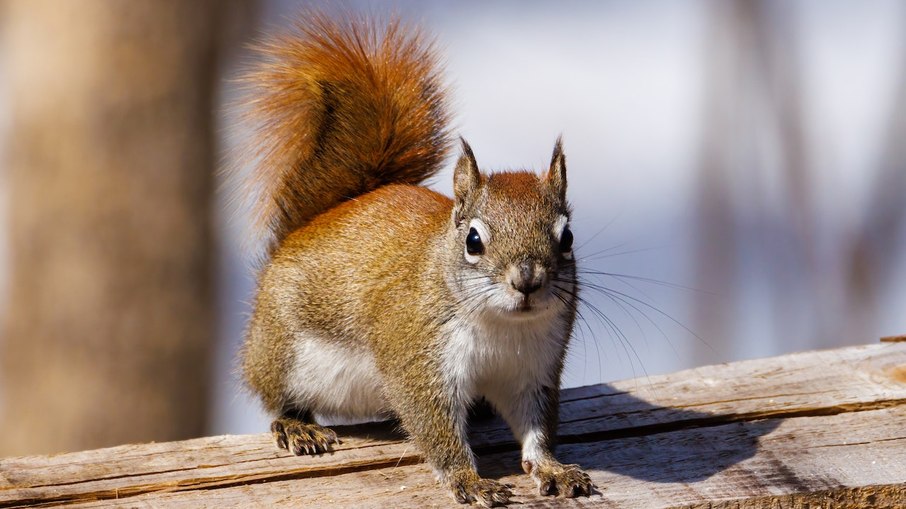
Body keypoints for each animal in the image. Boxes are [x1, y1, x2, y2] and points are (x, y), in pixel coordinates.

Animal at [237, 10, 588, 504]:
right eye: (473, 241)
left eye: (568, 238)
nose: (527, 282)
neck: (502, 328)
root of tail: (301, 233)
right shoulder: (417, 361)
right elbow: (435, 428)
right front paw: (469, 480)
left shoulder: (533, 368)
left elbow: (536, 427)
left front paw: (553, 467)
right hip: (282, 350)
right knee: (277, 396)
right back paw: (297, 425)